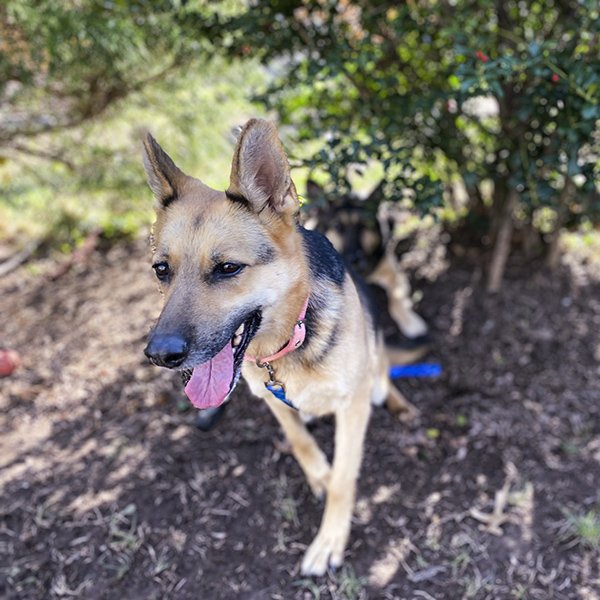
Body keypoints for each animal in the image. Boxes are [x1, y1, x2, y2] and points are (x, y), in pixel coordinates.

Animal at [142, 118, 420, 576]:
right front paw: (318, 474)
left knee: (383, 360)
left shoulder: (352, 405)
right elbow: (300, 442)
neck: (290, 341)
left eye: (228, 268)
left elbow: (344, 477)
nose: (160, 355)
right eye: (161, 269)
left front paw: (330, 538)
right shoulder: (271, 397)